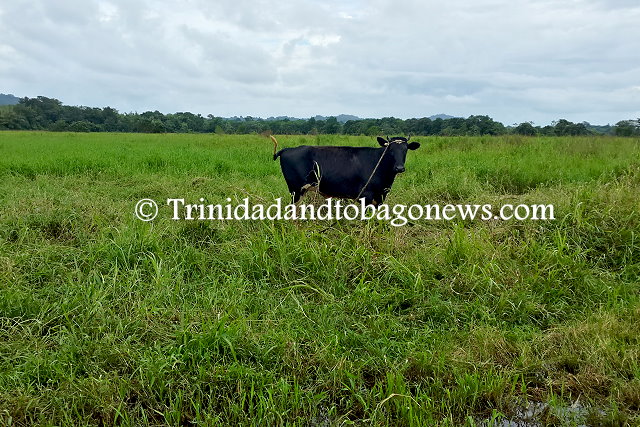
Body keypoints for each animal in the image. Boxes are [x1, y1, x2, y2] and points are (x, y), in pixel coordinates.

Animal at [271, 135, 420, 205]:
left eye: (405, 149)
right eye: (390, 149)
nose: (399, 168)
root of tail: (287, 150)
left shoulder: (380, 196)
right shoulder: (365, 196)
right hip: (296, 191)